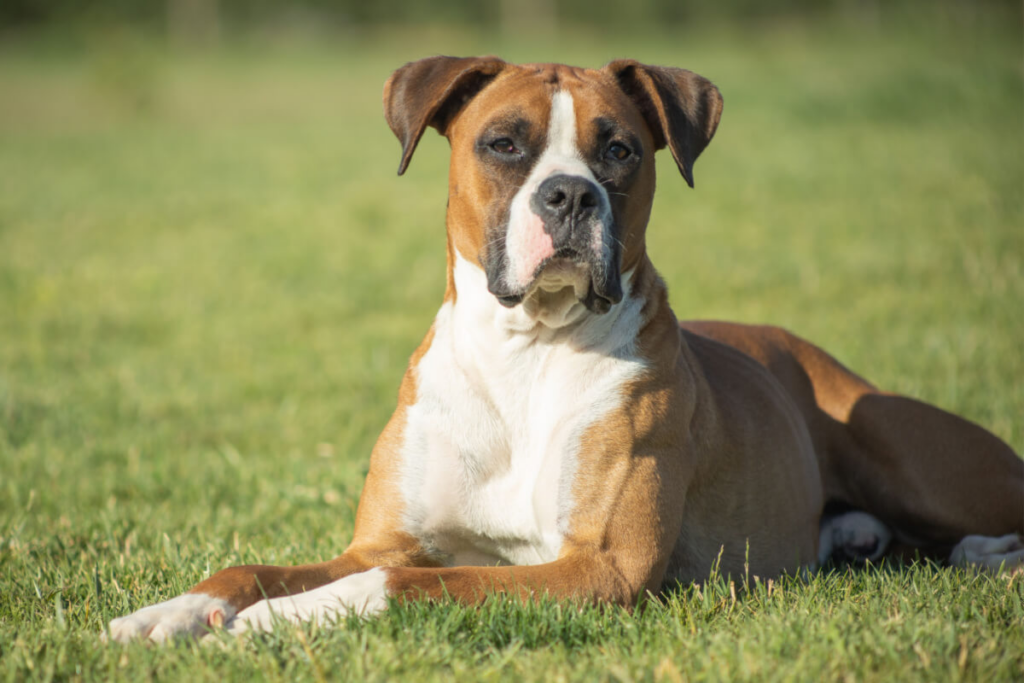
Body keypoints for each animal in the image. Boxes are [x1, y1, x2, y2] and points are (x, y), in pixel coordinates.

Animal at [105, 56, 1024, 643]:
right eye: (503, 143)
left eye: (619, 149)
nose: (569, 194)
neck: (524, 351)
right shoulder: (380, 540)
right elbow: (254, 565)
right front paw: (173, 612)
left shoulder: (595, 568)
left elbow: (406, 583)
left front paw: (274, 621)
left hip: (917, 460)